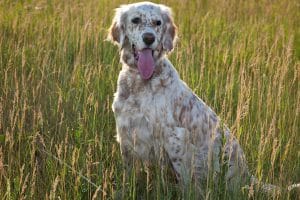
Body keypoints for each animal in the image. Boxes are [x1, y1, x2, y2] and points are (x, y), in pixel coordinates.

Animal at [108, 0, 264, 192]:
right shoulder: (125, 134)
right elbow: (128, 174)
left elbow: (184, 180)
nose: (149, 38)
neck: (140, 81)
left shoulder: (175, 138)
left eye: (158, 23)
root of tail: (247, 174)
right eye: (136, 20)